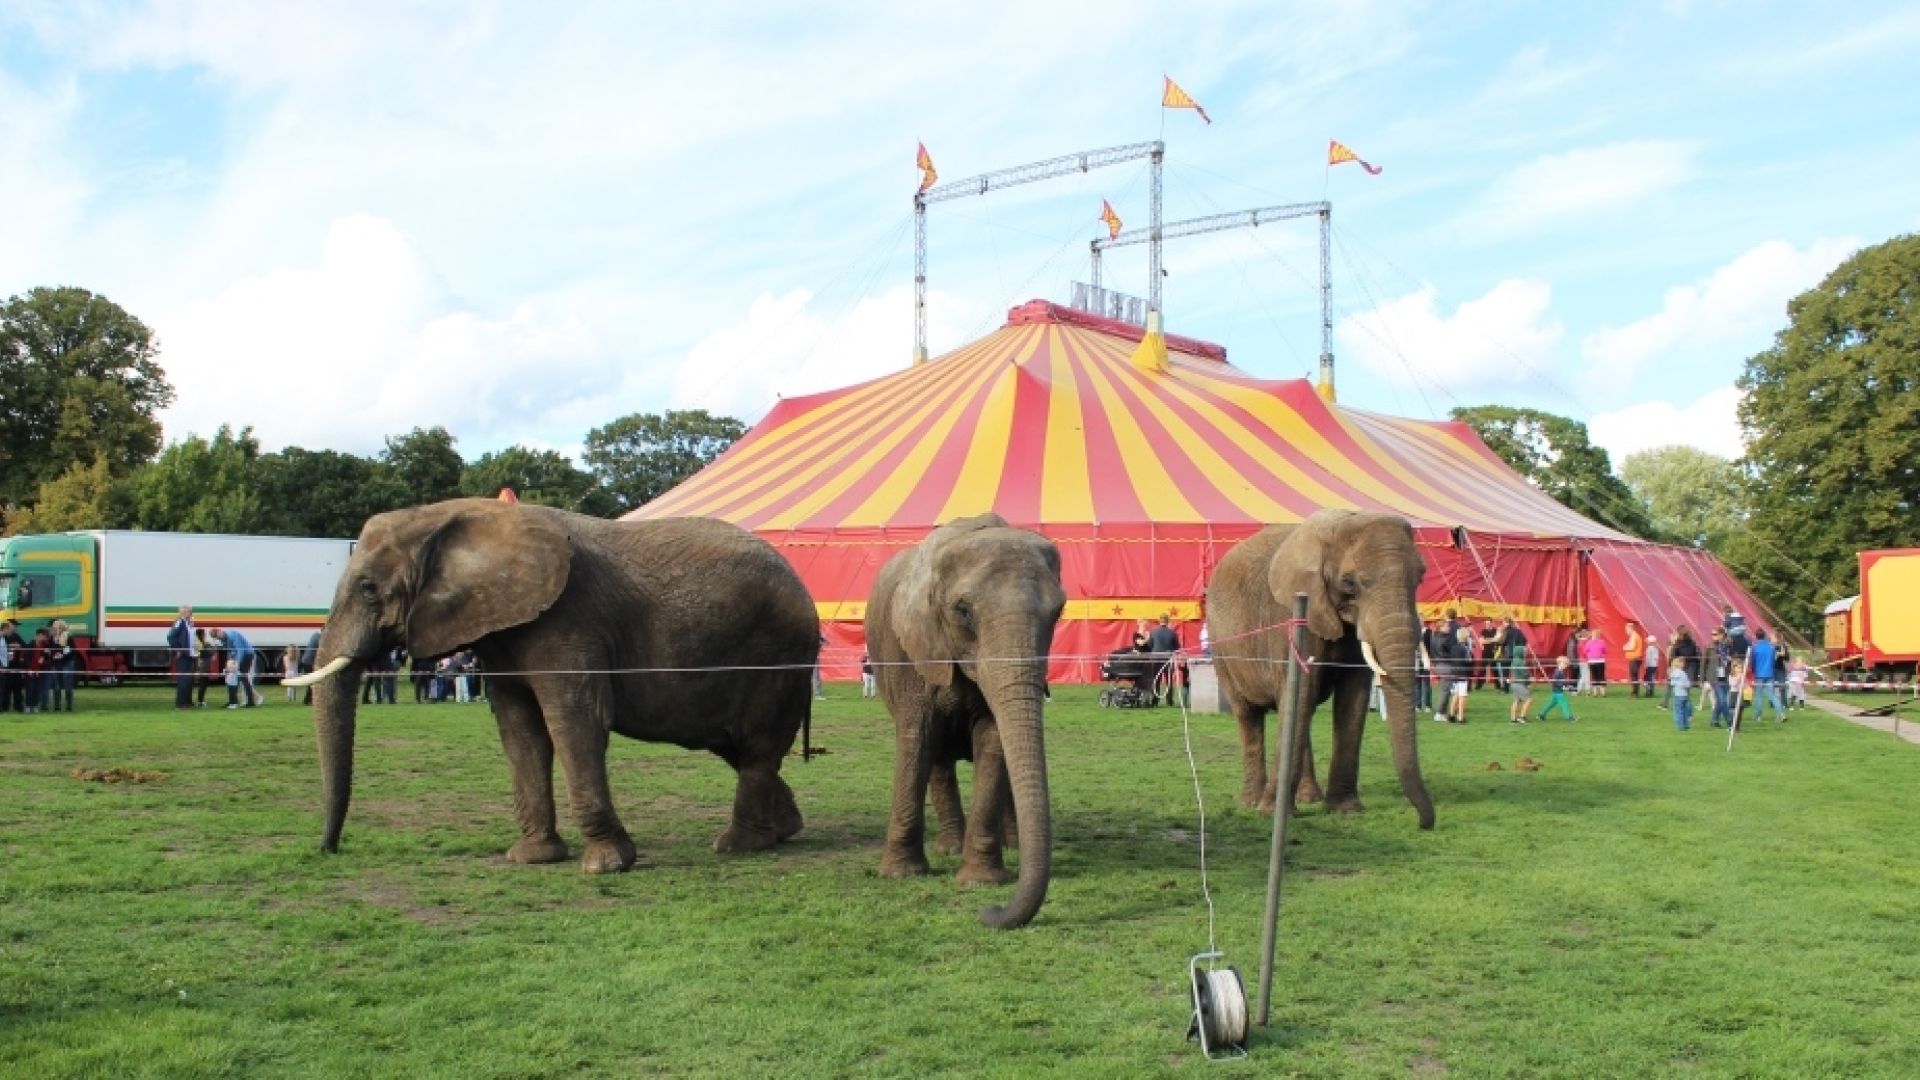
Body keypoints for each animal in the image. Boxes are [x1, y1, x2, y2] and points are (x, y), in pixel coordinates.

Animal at [286, 499, 817, 868]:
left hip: (778, 654)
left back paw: (738, 845)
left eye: (369, 589)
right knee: (737, 747)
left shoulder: (568, 621)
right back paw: (784, 830)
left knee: (755, 747)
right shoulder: (501, 633)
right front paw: (533, 857)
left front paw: (606, 865)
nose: (328, 850)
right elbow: (521, 731)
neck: (451, 514)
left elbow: (574, 723)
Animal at [867, 511, 1067, 926]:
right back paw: (948, 848)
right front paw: (900, 874)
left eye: (1059, 612)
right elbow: (917, 738)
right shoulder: (910, 650)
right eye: (962, 610)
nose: (990, 913)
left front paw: (981, 882)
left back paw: (1011, 846)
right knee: (937, 760)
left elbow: (993, 740)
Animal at [1205, 507, 1436, 826]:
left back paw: (1308, 798)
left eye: (1421, 577)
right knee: (1249, 713)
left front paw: (1345, 809)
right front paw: (1271, 812)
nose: (1424, 823)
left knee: (1302, 712)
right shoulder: (1291, 615)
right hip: (1221, 646)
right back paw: (1252, 802)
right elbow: (1300, 690)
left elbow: (1353, 697)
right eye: (1349, 583)